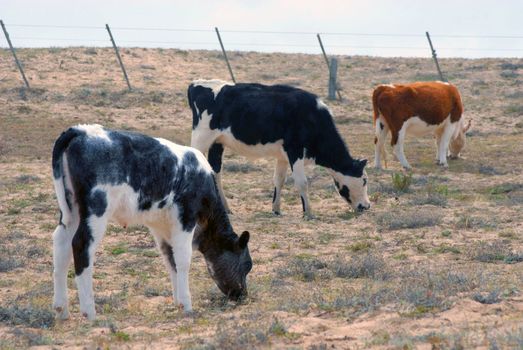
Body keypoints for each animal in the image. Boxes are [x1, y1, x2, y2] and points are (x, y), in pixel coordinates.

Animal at [52, 125, 253, 320]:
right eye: (247, 265)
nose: (242, 295)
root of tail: (82, 131)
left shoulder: (161, 227)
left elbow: (170, 259)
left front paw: (178, 302)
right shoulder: (186, 218)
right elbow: (183, 259)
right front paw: (187, 305)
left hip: (72, 211)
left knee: (61, 245)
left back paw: (61, 309)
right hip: (96, 210)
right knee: (81, 245)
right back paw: (89, 312)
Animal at [188, 79, 372, 217]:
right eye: (364, 179)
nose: (367, 206)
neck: (312, 117)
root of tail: (197, 83)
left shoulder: (283, 155)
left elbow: (279, 180)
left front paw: (276, 209)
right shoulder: (295, 150)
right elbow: (302, 182)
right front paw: (308, 213)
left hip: (217, 143)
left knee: (215, 171)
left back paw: (225, 208)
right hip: (201, 138)